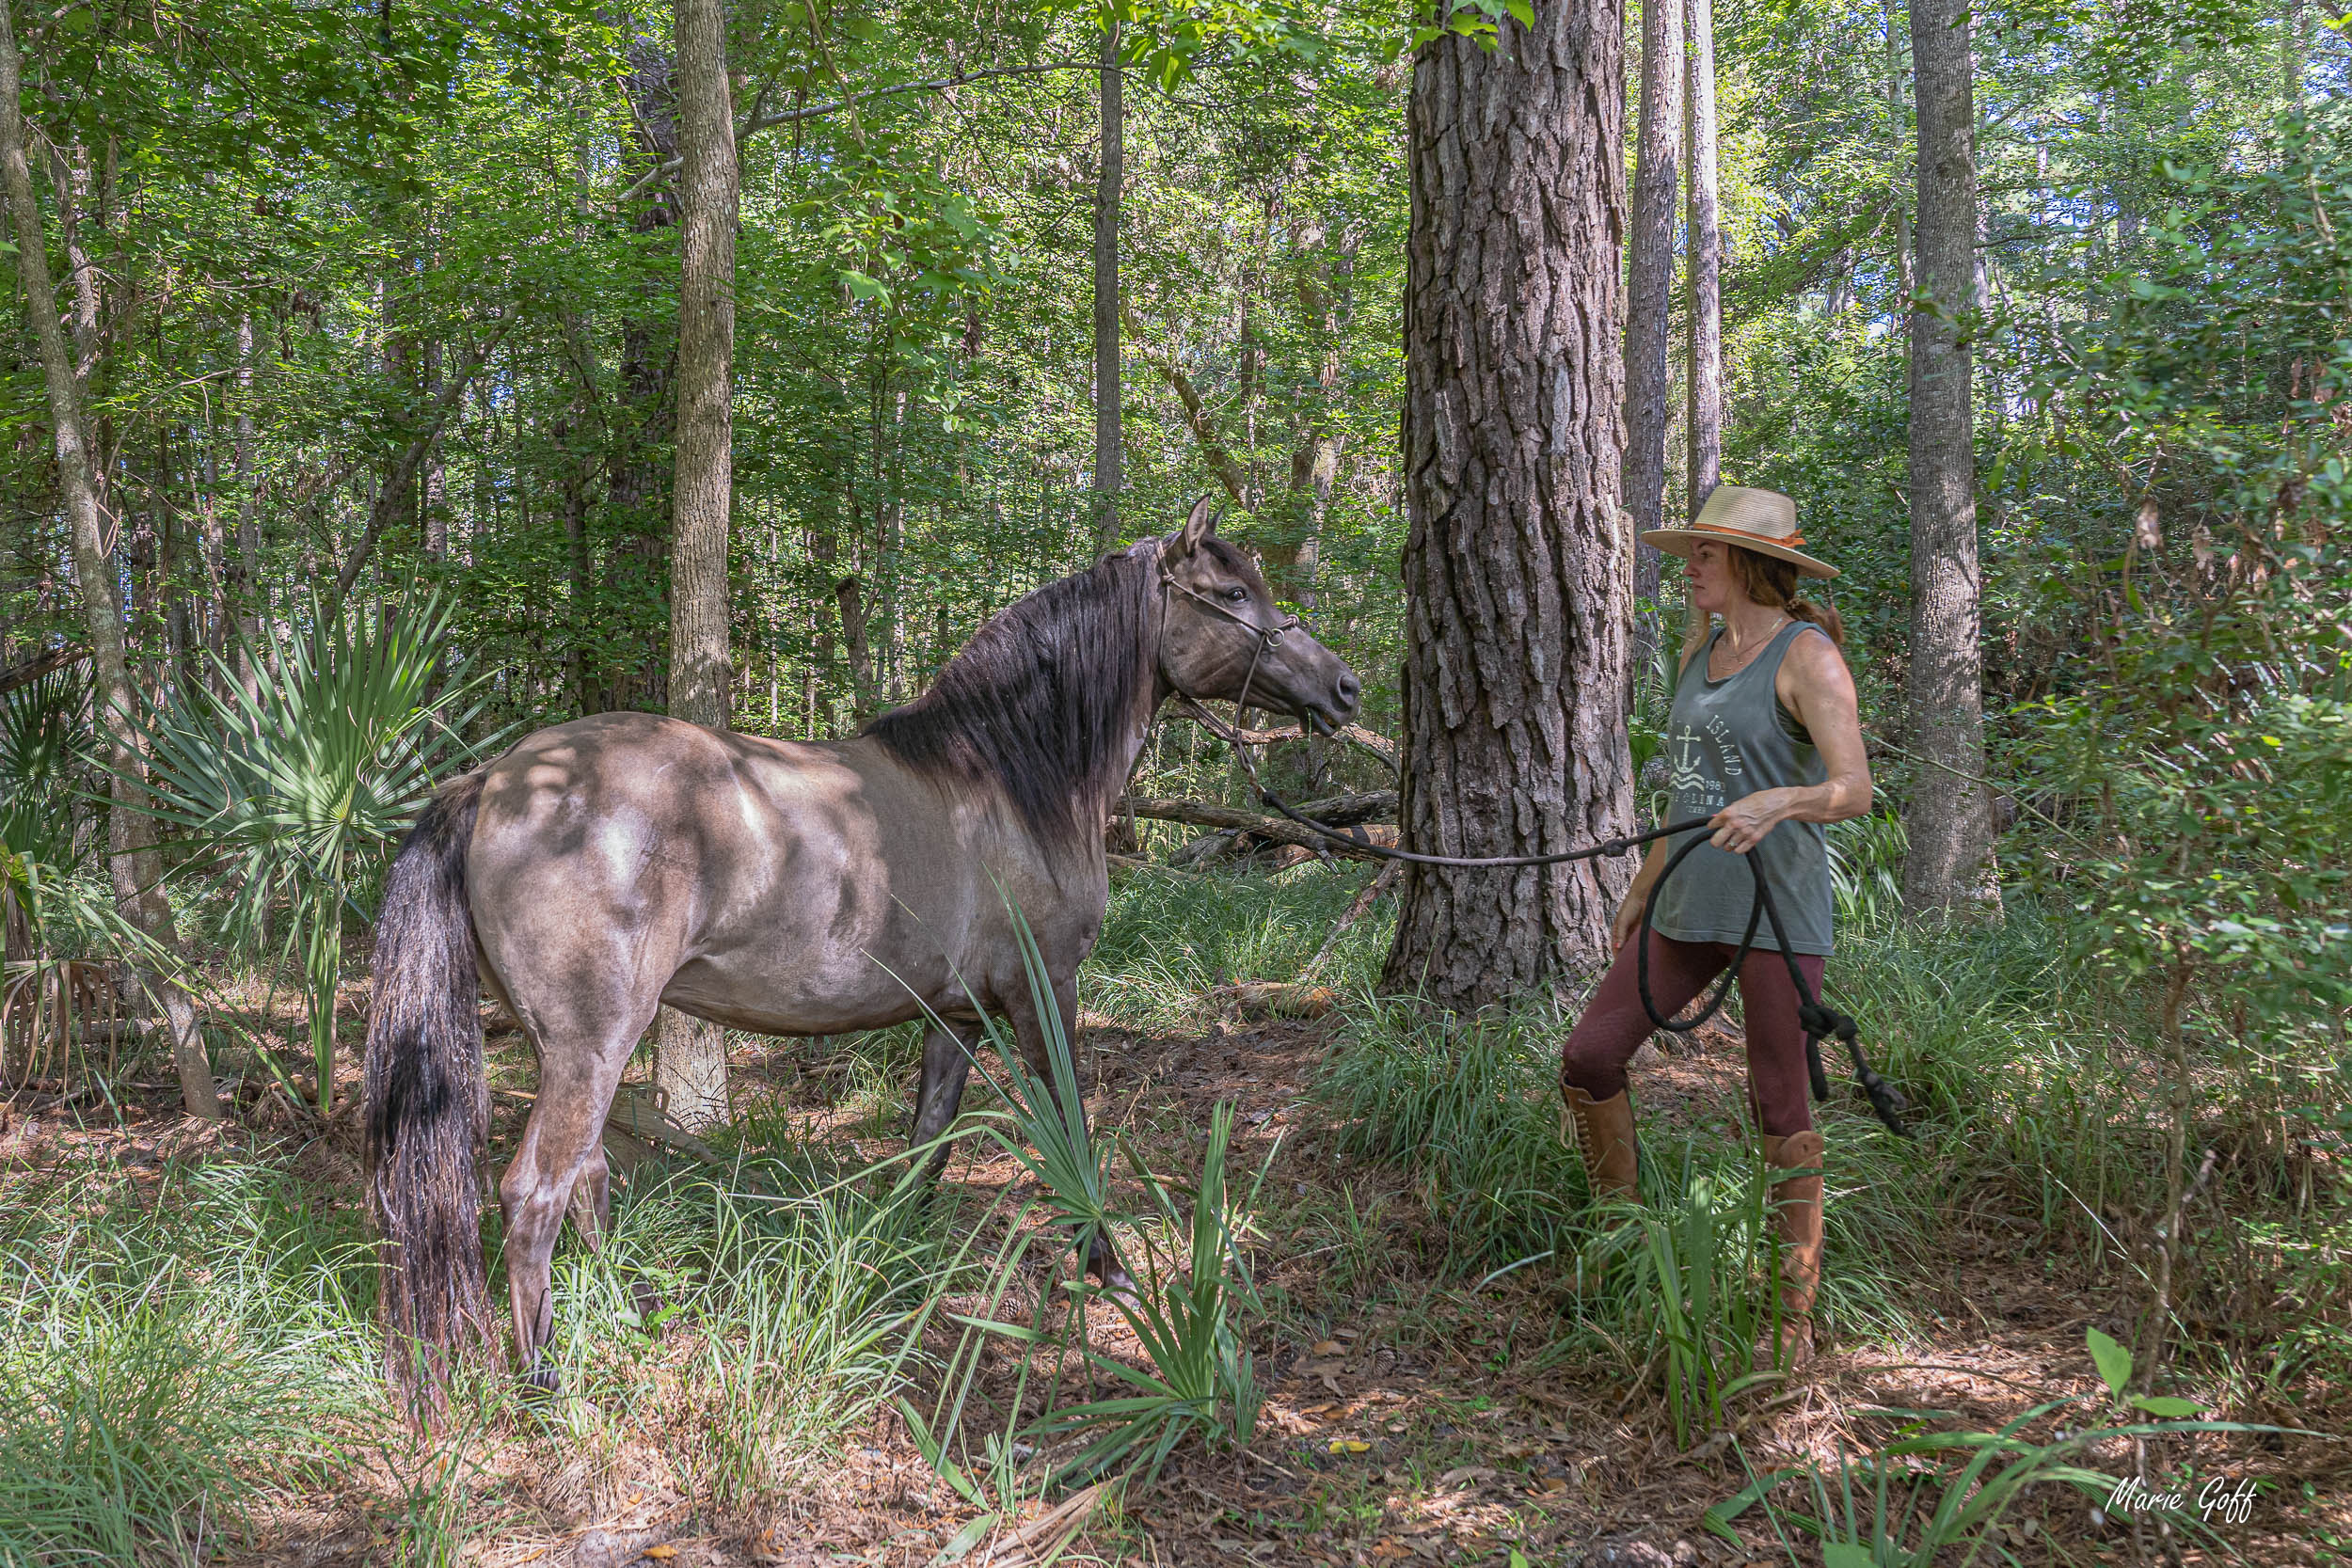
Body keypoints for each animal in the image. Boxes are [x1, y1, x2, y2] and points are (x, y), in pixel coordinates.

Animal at [361, 498, 1361, 1406]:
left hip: (559, 1047)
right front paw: (1109, 1268)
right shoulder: (1046, 993)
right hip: (591, 1043)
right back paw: (543, 1378)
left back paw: (620, 1311)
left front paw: (897, 1275)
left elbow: (925, 1149)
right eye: (1233, 592)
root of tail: (494, 780)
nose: (1346, 689)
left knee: (588, 1177)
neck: (1007, 780)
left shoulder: (955, 1018)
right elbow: (1072, 1134)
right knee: (535, 1191)